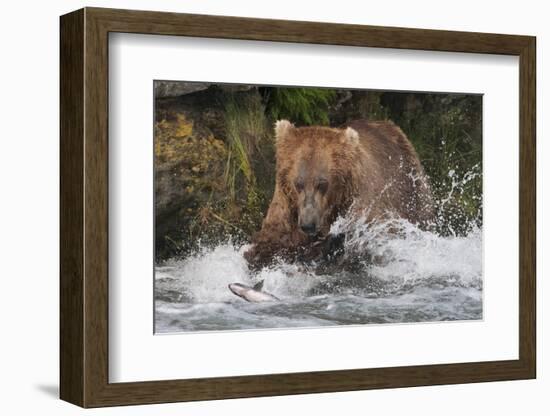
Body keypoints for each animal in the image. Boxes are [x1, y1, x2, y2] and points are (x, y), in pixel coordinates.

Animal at [246, 118, 436, 268]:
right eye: (298, 183)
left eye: (322, 184)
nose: (308, 224)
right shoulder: (287, 205)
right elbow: (271, 242)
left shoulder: (363, 203)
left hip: (411, 186)